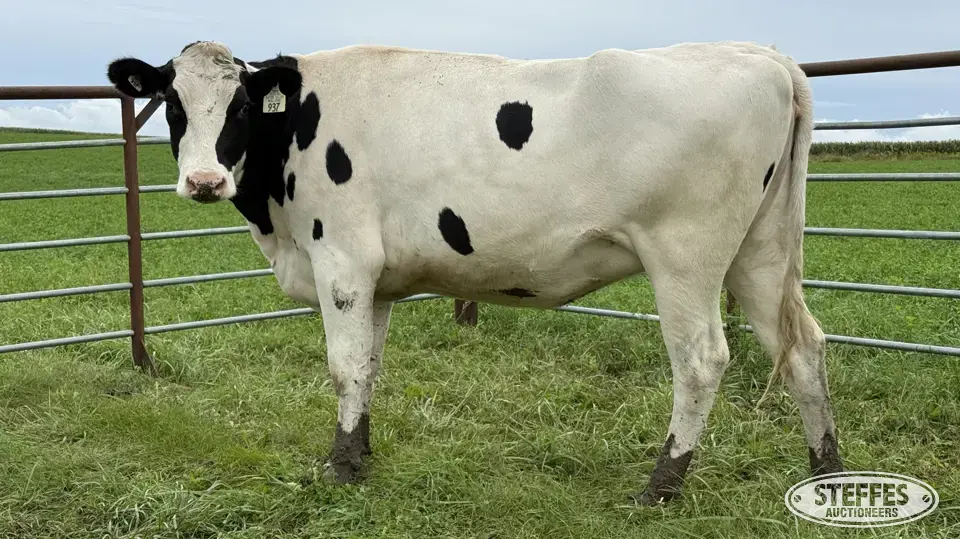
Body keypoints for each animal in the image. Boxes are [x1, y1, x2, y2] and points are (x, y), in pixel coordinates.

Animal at [105, 39, 843, 504]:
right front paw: (360, 453)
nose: (204, 181)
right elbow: (369, 367)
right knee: (804, 348)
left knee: (701, 362)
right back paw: (826, 472)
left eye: (239, 105)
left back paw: (661, 485)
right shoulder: (379, 280)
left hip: (684, 257)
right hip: (759, 254)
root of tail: (760, 55)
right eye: (174, 103)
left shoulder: (342, 261)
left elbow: (343, 368)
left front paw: (338, 469)